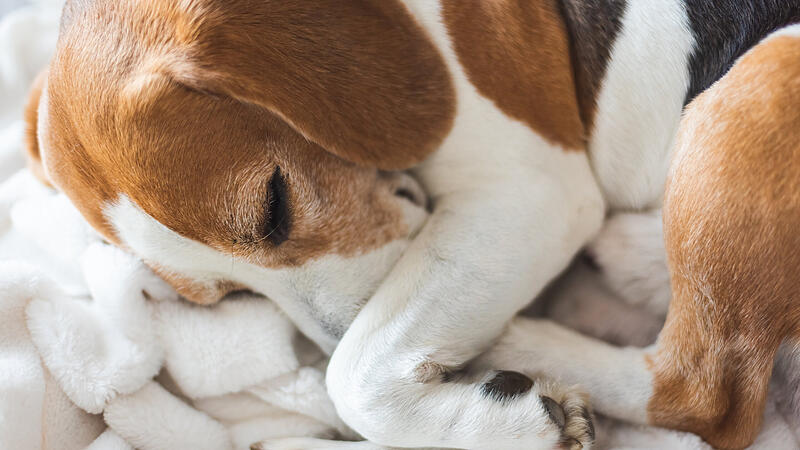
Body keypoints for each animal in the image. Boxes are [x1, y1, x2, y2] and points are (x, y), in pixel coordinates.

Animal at [25, 0, 800, 448]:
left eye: (274, 206)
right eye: (234, 296)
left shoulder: (531, 190)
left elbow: (353, 373)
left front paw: (522, 425)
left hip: (761, 78)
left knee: (707, 396)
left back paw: (532, 339)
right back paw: (630, 258)